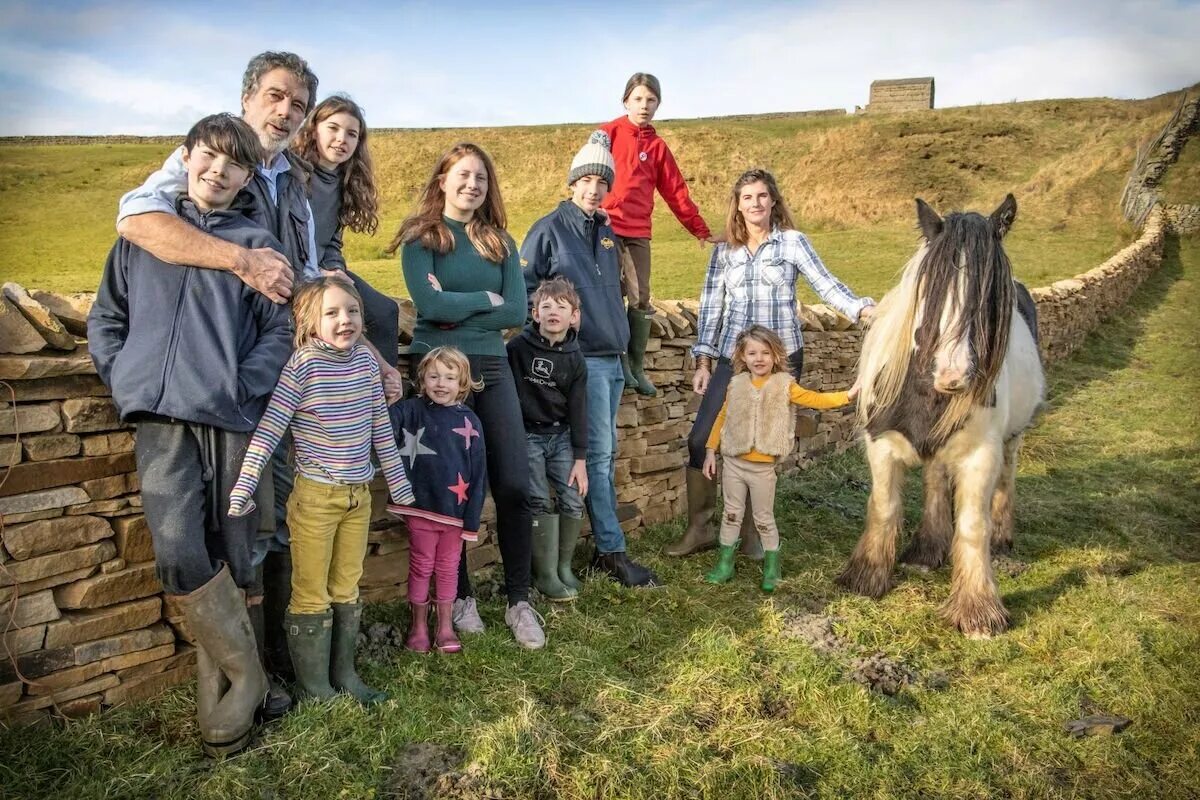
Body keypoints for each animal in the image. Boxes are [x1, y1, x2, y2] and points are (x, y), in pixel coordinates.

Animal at [840, 194, 1046, 638]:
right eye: (929, 292)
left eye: (990, 300)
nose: (953, 376)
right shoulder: (880, 445)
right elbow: (884, 506)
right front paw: (867, 577)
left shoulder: (981, 456)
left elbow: (972, 525)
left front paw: (978, 610)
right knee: (935, 481)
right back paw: (927, 549)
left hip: (1012, 439)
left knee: (1005, 482)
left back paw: (1001, 537)